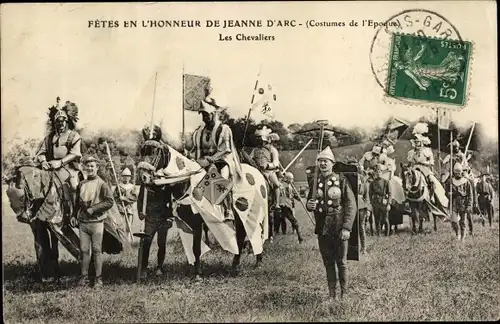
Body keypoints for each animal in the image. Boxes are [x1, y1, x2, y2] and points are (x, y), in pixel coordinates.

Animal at [137, 138, 270, 280]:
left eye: (154, 152)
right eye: (142, 153)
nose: (143, 176)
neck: (187, 183)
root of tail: (257, 172)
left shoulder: (197, 222)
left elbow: (196, 248)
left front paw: (197, 274)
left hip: (252, 214)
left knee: (255, 234)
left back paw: (258, 262)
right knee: (241, 238)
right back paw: (235, 266)